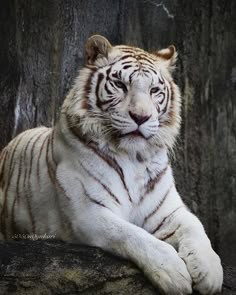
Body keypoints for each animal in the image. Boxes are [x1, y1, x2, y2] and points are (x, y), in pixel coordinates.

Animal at [0, 35, 223, 294]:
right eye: (120, 85)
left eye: (154, 90)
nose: (141, 117)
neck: (134, 157)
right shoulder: (87, 211)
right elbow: (132, 234)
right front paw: (172, 272)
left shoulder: (168, 210)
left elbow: (196, 226)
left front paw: (209, 271)